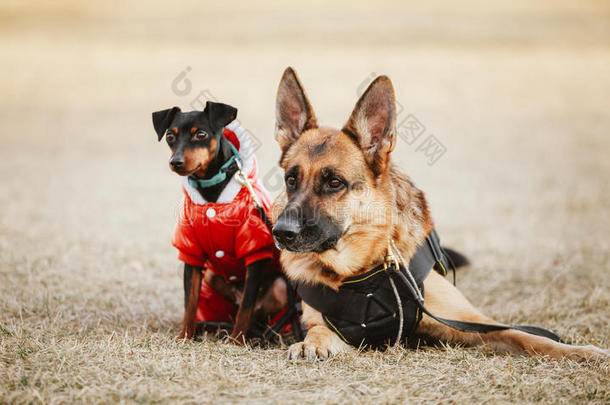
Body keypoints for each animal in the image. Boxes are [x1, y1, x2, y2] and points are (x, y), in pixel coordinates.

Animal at [270, 66, 608, 360]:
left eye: (334, 182)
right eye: (291, 179)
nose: (281, 232)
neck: (365, 273)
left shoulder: (470, 322)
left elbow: (526, 336)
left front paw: (582, 352)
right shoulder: (333, 326)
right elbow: (318, 330)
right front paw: (310, 343)